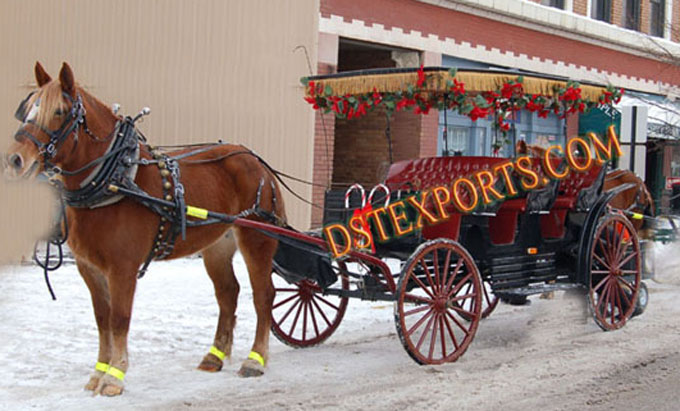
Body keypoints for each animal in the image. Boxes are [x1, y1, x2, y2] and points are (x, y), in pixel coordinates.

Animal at [3, 62, 284, 398]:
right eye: (27, 109)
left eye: (59, 111)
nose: (15, 160)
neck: (115, 178)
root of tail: (257, 162)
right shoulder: (89, 268)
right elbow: (102, 318)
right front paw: (98, 373)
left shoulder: (122, 267)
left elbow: (120, 318)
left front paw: (114, 377)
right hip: (217, 245)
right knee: (228, 293)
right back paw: (214, 357)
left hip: (257, 238)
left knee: (264, 294)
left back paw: (256, 360)